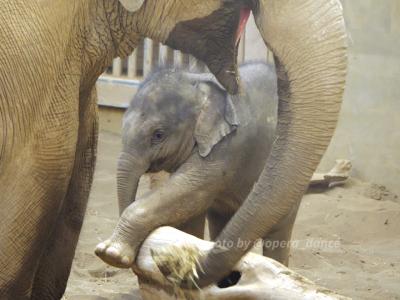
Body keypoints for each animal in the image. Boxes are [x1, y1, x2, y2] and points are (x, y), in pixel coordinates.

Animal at [94, 62, 300, 268]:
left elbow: (189, 191)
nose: (129, 260)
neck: (199, 80)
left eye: (158, 135)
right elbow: (189, 209)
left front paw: (110, 253)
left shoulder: (228, 146)